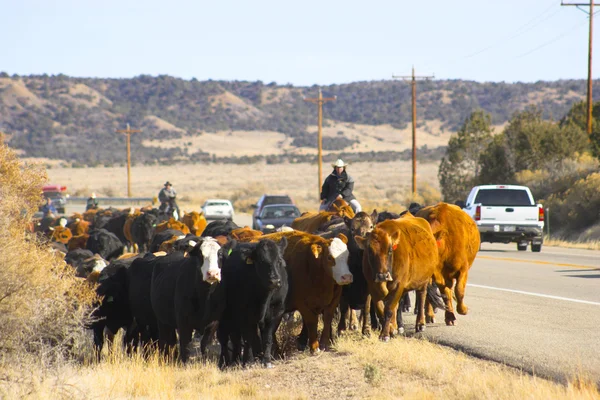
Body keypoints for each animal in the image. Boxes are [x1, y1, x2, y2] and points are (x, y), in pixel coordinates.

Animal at [217, 238, 290, 368]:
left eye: (279, 260)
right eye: (261, 261)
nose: (274, 280)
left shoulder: (277, 312)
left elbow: (268, 337)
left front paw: (266, 361)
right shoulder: (244, 312)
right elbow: (248, 338)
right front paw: (249, 362)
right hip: (226, 313)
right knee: (227, 337)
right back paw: (227, 362)